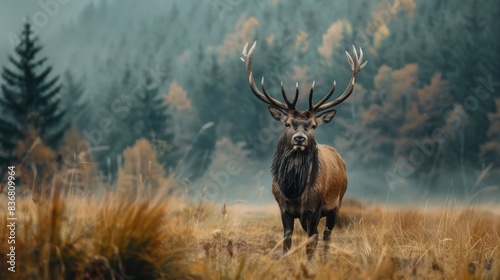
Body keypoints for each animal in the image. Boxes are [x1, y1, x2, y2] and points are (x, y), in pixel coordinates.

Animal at [242, 42, 368, 260]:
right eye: (287, 123)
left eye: (313, 125)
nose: (299, 138)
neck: (294, 191)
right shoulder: (284, 209)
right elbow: (287, 241)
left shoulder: (315, 208)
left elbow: (311, 241)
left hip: (338, 203)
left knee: (325, 235)